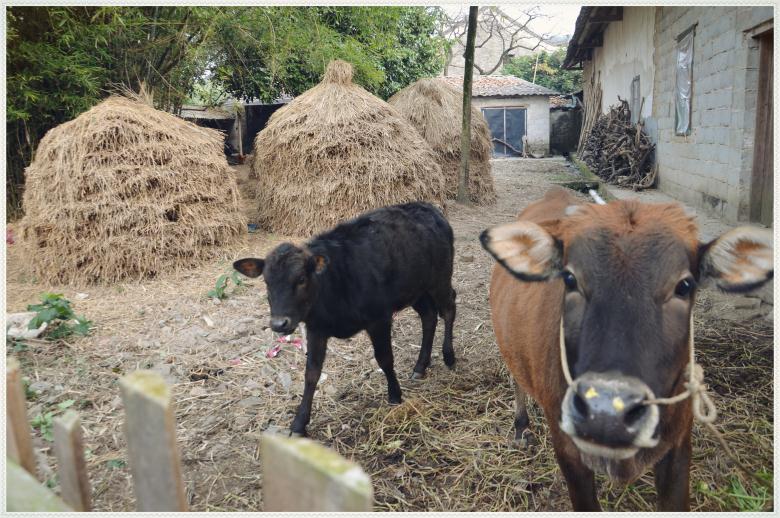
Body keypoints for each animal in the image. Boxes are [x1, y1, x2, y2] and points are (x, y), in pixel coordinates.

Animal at [236, 204, 458, 438]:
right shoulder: (316, 329)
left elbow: (385, 359)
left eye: (301, 279)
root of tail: (429, 207)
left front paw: (395, 395)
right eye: (266, 282)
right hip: (416, 290)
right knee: (429, 317)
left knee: (449, 308)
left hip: (440, 279)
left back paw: (449, 356)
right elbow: (311, 373)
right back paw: (420, 365)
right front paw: (299, 423)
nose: (279, 324)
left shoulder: (379, 318)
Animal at [482, 189, 772, 512]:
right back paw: (521, 427)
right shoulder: (568, 450)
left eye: (684, 285)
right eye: (569, 279)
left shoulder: (679, 444)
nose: (606, 414)